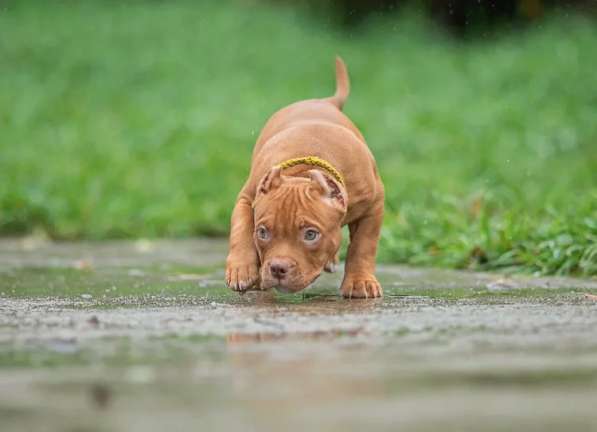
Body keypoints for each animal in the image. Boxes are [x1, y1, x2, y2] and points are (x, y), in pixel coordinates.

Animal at [226, 57, 384, 298]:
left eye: (310, 235)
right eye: (262, 232)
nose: (277, 268)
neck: (302, 171)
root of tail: (324, 101)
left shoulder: (374, 205)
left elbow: (364, 246)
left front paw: (360, 282)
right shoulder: (247, 198)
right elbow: (241, 229)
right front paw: (241, 269)